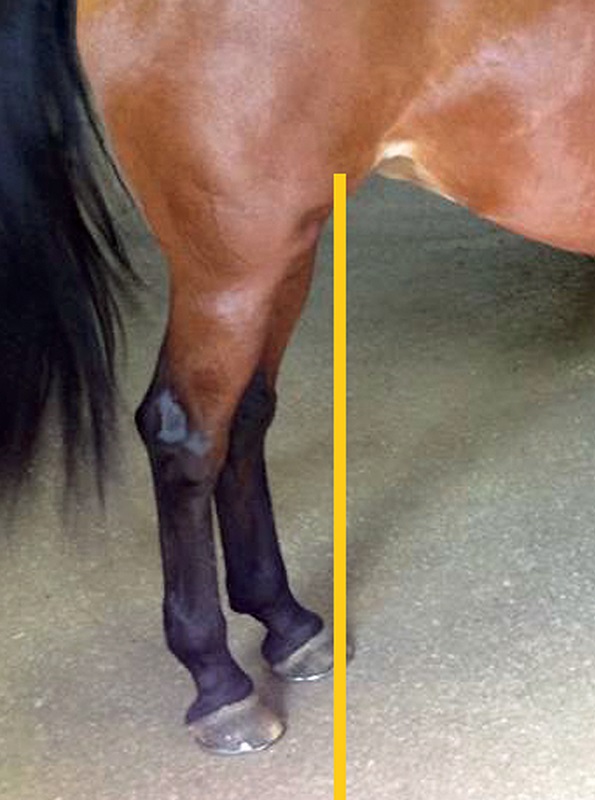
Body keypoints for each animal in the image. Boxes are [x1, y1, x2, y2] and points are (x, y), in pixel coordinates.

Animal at [3, 0, 595, 756]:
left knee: (245, 417)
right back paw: (219, 685)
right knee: (183, 436)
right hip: (231, 269)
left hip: (283, 251)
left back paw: (286, 625)